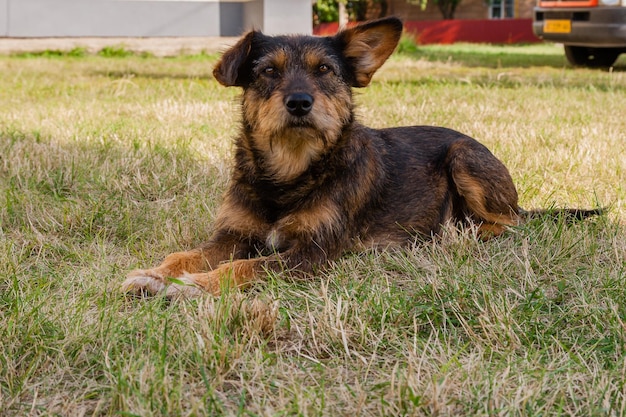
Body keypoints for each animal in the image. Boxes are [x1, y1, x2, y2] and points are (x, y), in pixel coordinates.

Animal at [120, 16, 596, 296]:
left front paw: (193, 285)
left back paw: (459, 235)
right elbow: (185, 254)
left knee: (510, 223)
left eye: (325, 70)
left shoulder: (312, 253)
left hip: (464, 157)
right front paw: (157, 274)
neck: (291, 172)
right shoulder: (232, 235)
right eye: (268, 71)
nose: (299, 102)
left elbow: (244, 268)